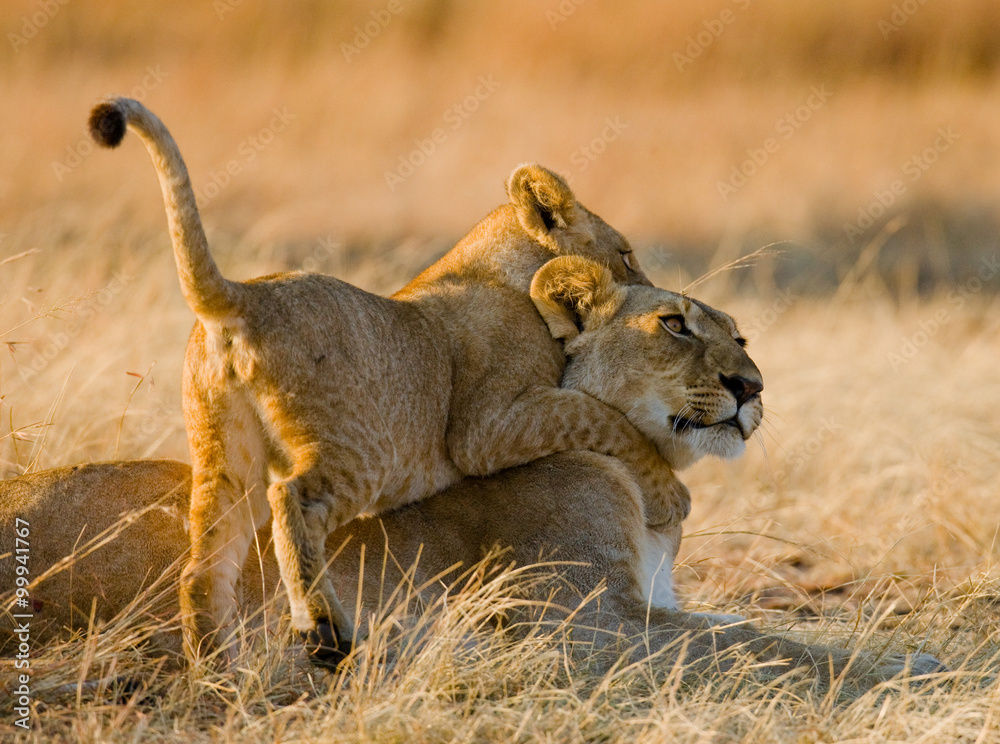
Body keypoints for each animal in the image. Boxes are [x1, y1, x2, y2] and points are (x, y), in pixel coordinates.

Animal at [0, 258, 944, 691]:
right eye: (674, 324)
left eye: (741, 335)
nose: (753, 387)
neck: (638, 483)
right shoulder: (582, 625)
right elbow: (759, 643)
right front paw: (911, 672)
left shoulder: (642, 603)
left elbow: (744, 624)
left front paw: (914, 654)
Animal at [88, 98, 688, 667]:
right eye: (626, 252)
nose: (651, 291)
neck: (502, 269)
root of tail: (242, 295)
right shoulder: (487, 429)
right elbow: (601, 416)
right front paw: (668, 492)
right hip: (363, 449)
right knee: (293, 501)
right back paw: (324, 632)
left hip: (224, 456)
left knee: (203, 568)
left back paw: (215, 668)